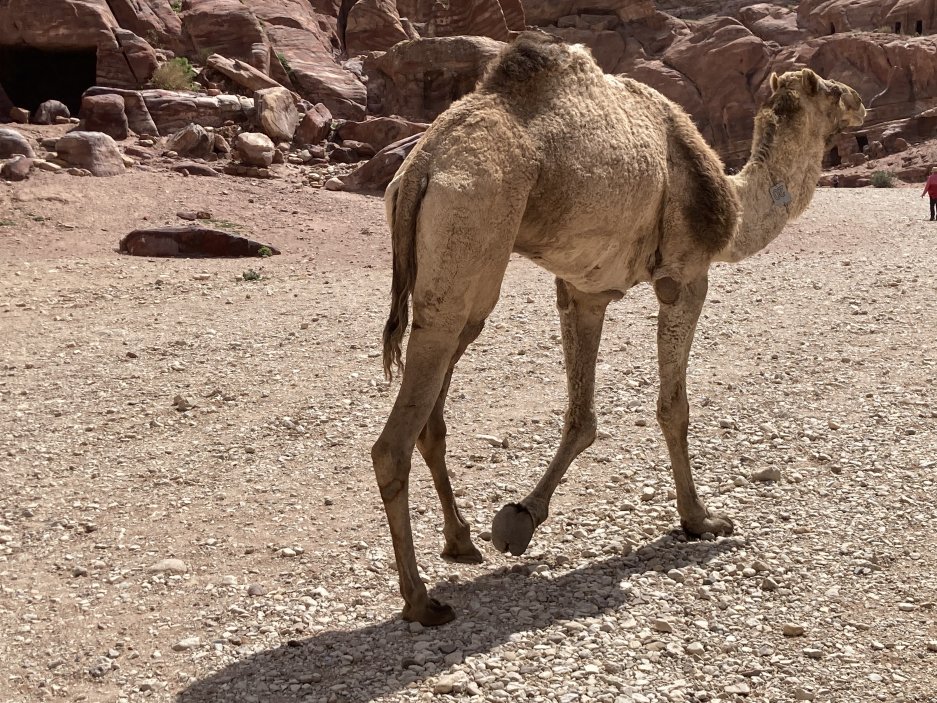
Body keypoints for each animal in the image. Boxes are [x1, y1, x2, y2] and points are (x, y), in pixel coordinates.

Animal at [370, 33, 868, 628]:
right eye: (830, 90)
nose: (861, 102)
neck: (734, 201)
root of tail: (421, 164)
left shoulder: (584, 290)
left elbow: (581, 418)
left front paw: (520, 518)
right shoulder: (685, 275)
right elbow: (673, 409)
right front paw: (701, 519)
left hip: (462, 281)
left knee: (433, 413)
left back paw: (460, 542)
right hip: (470, 228)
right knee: (393, 442)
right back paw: (422, 600)